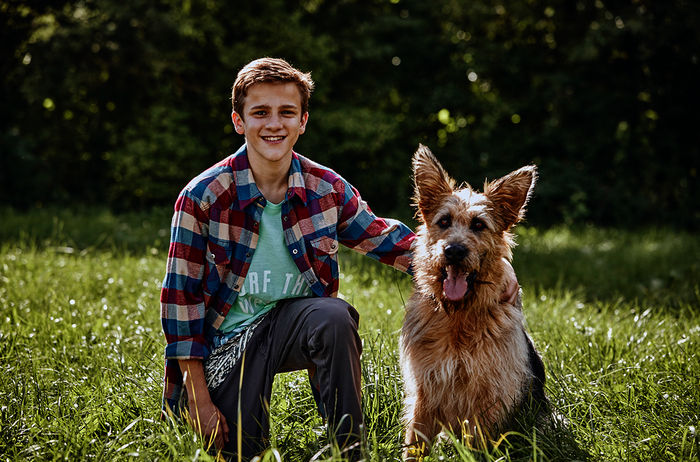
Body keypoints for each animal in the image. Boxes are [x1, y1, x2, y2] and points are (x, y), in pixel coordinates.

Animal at [400, 145, 548, 458]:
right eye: (444, 221)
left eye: (478, 225)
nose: (454, 251)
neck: (458, 314)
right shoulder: (425, 390)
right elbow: (415, 443)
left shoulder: (487, 398)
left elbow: (477, 445)